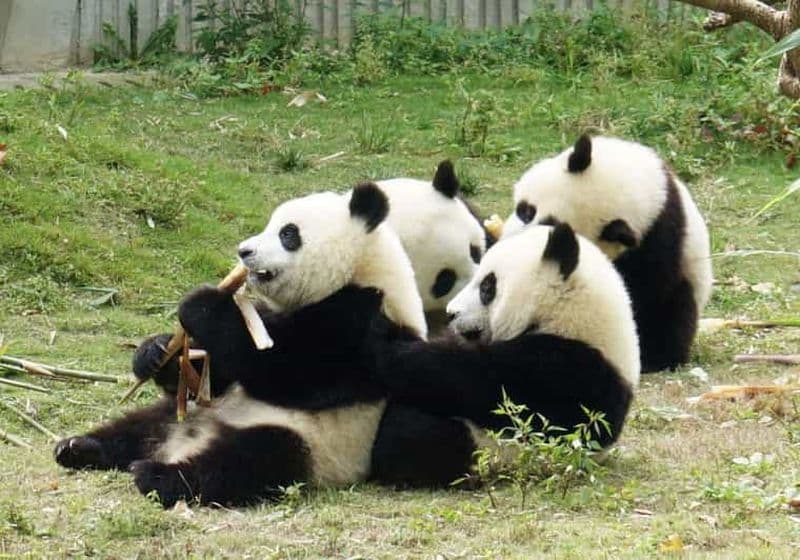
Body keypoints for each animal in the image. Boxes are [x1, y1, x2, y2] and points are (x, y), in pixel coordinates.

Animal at [54, 183, 428, 507]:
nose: (244, 251)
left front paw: (201, 304)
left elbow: (292, 371)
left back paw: (157, 475)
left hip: (311, 443)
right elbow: (214, 375)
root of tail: (185, 441)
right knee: (138, 426)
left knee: (245, 462)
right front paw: (156, 352)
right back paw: (78, 447)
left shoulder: (364, 326)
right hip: (180, 414)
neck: (363, 270)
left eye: (288, 233)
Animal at [368, 223, 640, 487]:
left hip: (489, 450)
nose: (451, 313)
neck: (565, 316)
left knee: (417, 436)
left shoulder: (564, 369)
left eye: (488, 286)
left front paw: (383, 336)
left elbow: (469, 380)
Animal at [501, 135, 712, 373]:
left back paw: (656, 359)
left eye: (551, 228)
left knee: (674, 311)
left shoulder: (656, 240)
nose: (510, 244)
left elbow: (646, 290)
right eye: (526, 211)